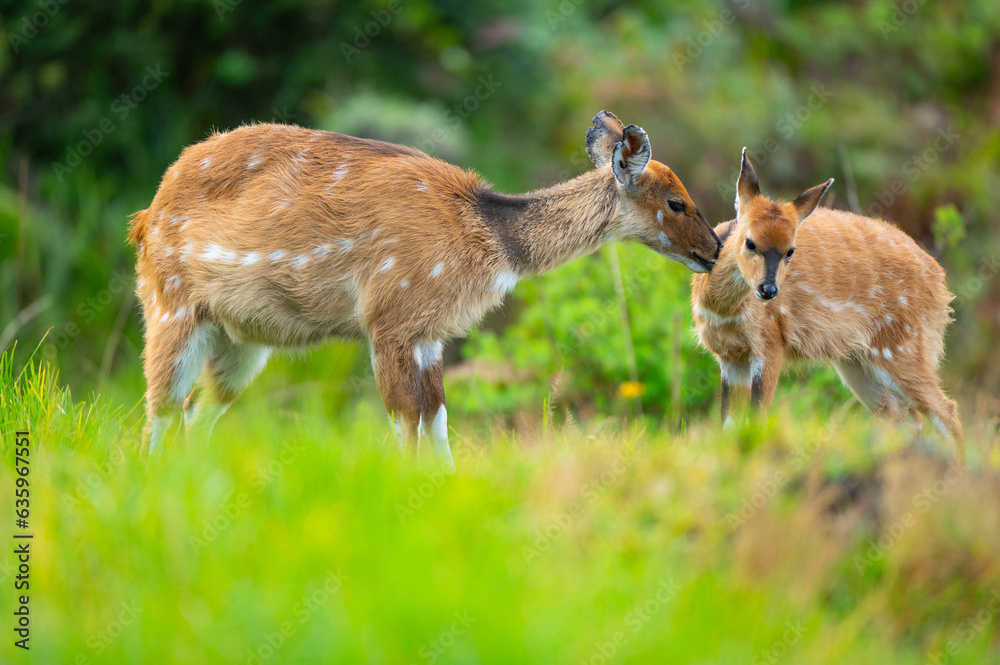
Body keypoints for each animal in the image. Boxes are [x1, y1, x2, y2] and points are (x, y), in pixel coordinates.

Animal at [129, 111, 722, 469]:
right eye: (676, 201)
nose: (715, 249)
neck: (488, 239)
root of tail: (144, 216)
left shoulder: (430, 334)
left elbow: (437, 421)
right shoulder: (389, 321)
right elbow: (406, 423)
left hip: (242, 342)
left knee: (195, 415)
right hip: (171, 306)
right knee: (159, 409)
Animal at [691, 149, 963, 459]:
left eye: (790, 250)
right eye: (750, 242)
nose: (769, 290)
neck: (724, 310)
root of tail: (940, 284)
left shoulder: (769, 344)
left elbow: (756, 420)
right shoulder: (730, 357)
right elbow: (729, 427)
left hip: (901, 347)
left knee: (945, 410)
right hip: (857, 363)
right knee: (904, 416)